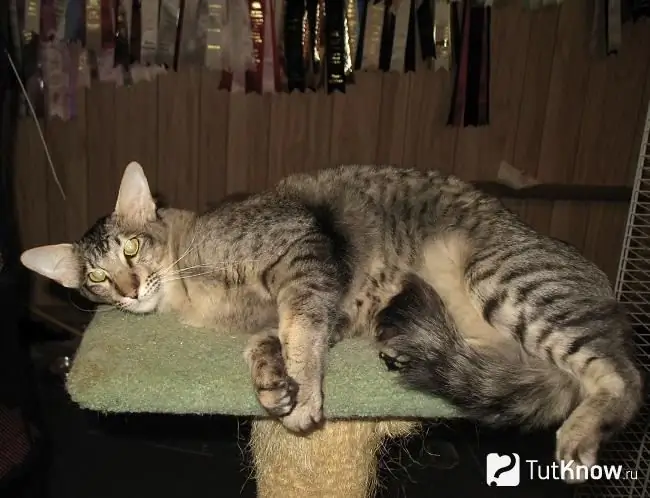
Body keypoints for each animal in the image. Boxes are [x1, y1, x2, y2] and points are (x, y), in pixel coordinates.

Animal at [20, 162, 636, 482]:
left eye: (129, 248)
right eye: (96, 278)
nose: (127, 290)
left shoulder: (304, 257)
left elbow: (301, 331)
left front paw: (303, 394)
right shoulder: (326, 306)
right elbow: (273, 339)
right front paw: (273, 384)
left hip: (504, 282)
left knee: (624, 378)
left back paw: (579, 439)